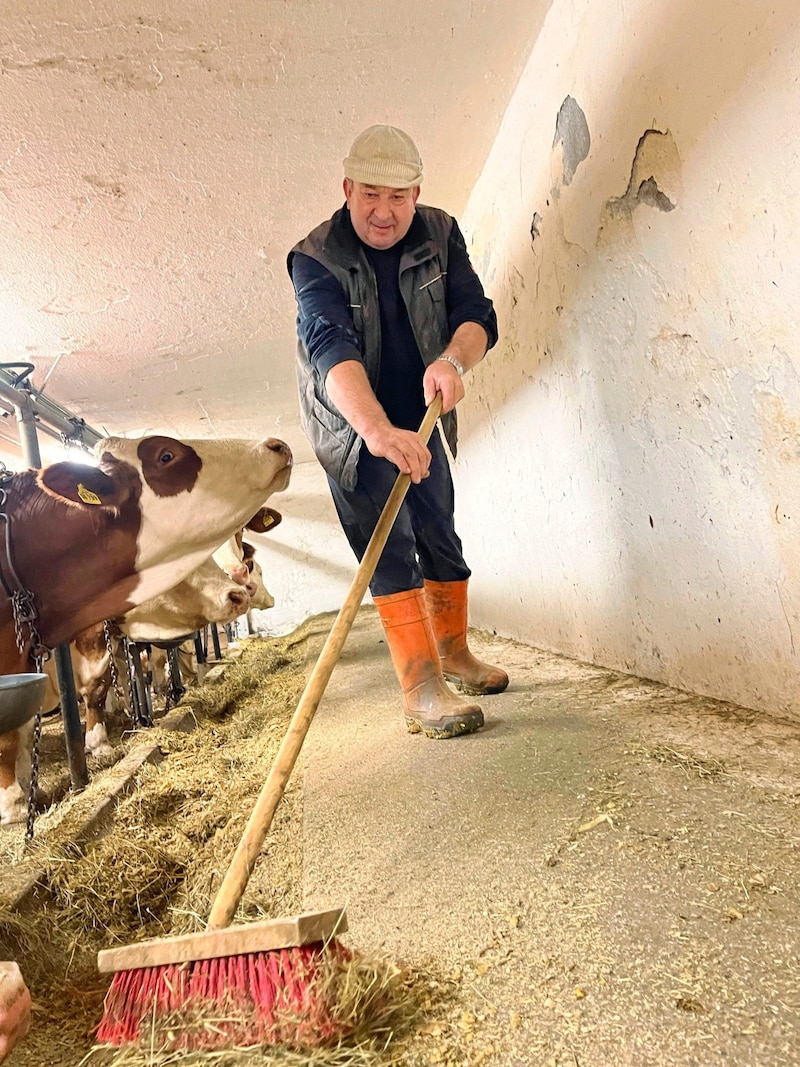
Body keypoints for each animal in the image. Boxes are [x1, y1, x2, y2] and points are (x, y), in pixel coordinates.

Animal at [0, 433, 292, 823]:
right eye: (166, 455)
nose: (237, 591)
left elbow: (105, 688)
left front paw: (101, 744)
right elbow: (10, 736)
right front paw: (14, 803)